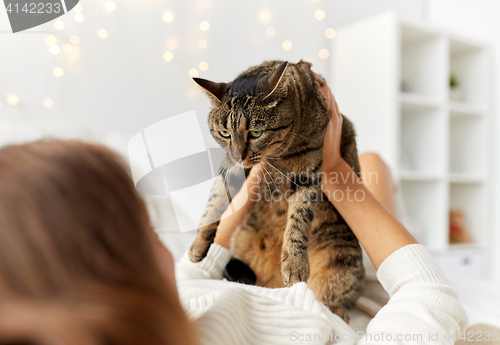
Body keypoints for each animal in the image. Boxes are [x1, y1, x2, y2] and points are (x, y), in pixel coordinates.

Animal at [189, 60, 366, 322]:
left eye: (255, 133)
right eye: (224, 133)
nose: (238, 155)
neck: (278, 156)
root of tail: (274, 287)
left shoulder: (308, 174)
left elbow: (298, 221)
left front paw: (294, 263)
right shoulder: (230, 168)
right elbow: (214, 202)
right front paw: (198, 245)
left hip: (342, 261)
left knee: (331, 301)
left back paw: (335, 311)